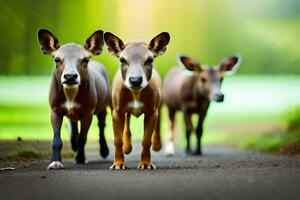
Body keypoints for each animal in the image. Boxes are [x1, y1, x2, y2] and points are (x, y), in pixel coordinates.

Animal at [37, 28, 110, 169]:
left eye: (86, 59)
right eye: (56, 59)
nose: (70, 76)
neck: (70, 93)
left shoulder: (88, 112)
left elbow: (83, 137)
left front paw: (80, 158)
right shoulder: (55, 109)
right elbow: (56, 139)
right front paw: (55, 162)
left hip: (104, 105)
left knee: (101, 126)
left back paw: (104, 150)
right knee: (73, 123)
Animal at [103, 32, 169, 170]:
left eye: (150, 59)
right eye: (122, 60)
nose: (135, 80)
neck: (136, 94)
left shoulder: (151, 112)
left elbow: (146, 140)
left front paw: (146, 163)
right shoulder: (116, 112)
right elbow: (117, 140)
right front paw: (118, 164)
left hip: (159, 104)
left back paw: (157, 144)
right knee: (127, 124)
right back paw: (127, 147)